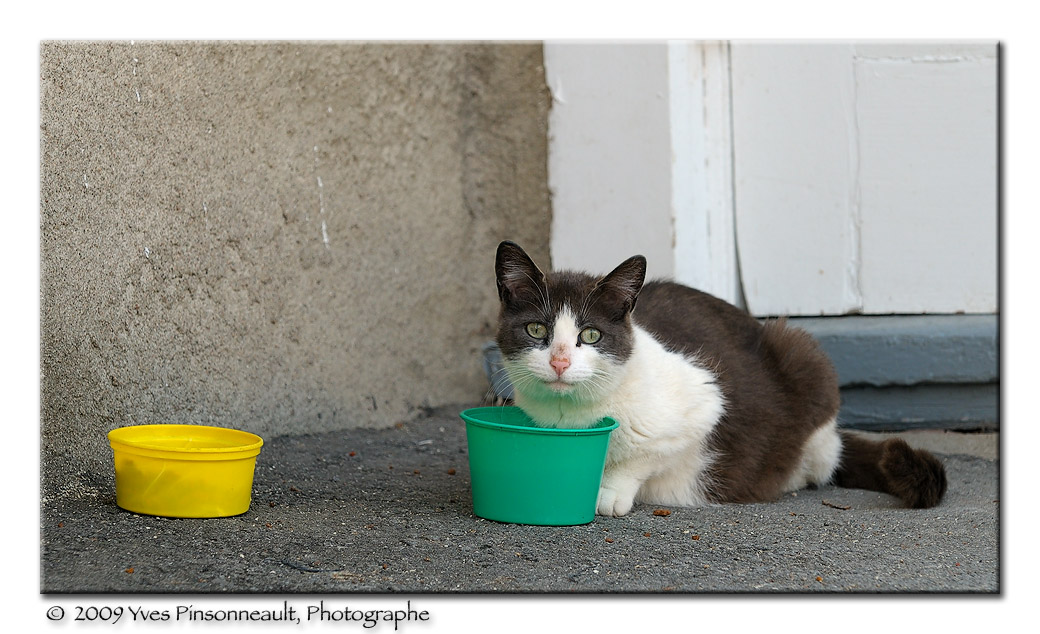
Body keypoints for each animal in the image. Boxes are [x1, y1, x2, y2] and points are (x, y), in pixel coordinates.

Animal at [490, 239, 948, 515]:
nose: (560, 362)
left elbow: (643, 455)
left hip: (803, 354)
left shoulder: (704, 401)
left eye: (590, 335)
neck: (569, 414)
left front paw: (608, 493)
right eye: (536, 330)